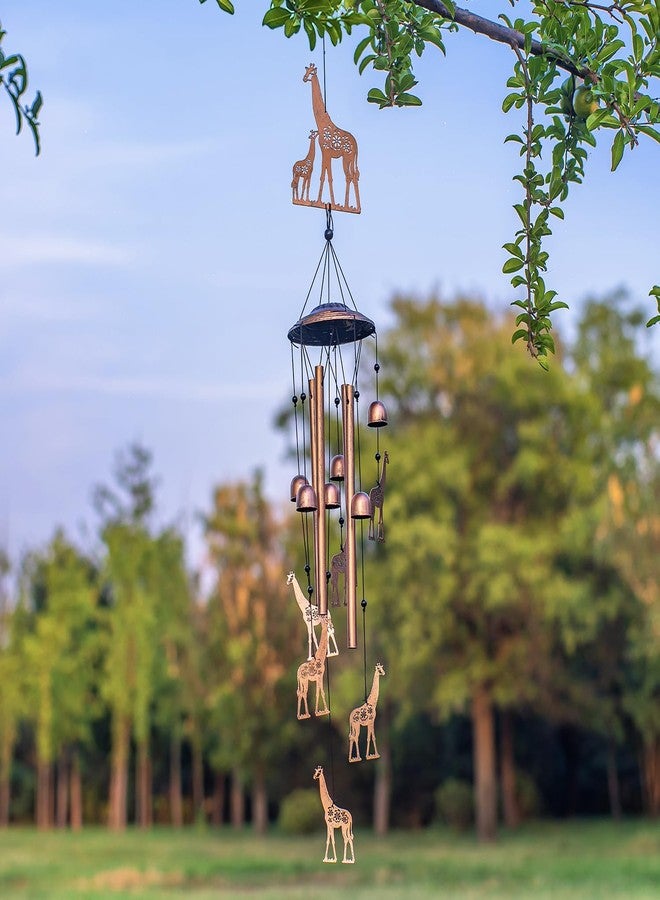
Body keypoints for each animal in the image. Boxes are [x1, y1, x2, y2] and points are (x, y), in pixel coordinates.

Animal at [303, 63, 360, 211]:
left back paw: (349, 206)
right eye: (306, 70)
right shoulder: (326, 153)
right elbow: (328, 176)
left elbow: (324, 176)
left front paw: (319, 201)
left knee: (349, 176)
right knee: (353, 176)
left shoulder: (326, 152)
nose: (304, 78)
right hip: (350, 159)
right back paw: (352, 206)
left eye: (312, 72)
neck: (322, 123)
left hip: (347, 157)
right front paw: (329, 202)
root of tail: (356, 145)